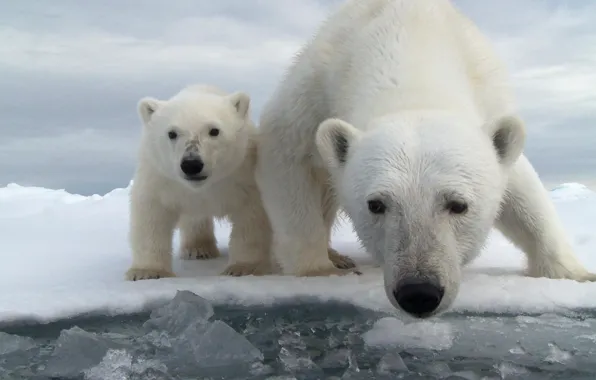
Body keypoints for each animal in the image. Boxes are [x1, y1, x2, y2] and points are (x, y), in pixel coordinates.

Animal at [256, 0, 596, 318]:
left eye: (459, 204)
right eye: (376, 204)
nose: (419, 293)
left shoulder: (488, 98)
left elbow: (523, 191)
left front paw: (577, 275)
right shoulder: (315, 90)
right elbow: (287, 158)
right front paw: (318, 270)